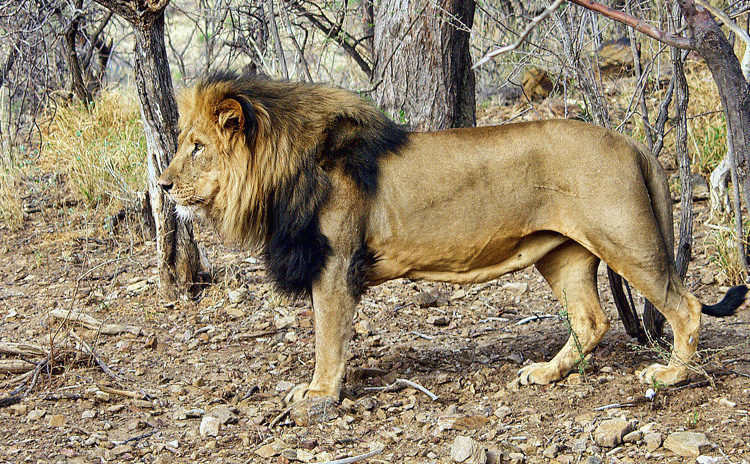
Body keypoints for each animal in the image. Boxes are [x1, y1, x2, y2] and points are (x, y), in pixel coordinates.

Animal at [159, 73, 747, 404]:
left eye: (196, 147)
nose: (162, 186)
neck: (281, 169)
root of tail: (630, 140)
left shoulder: (335, 264)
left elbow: (328, 337)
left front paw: (320, 393)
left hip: (626, 240)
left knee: (685, 305)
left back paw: (671, 375)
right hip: (564, 254)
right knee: (590, 319)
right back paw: (544, 374)